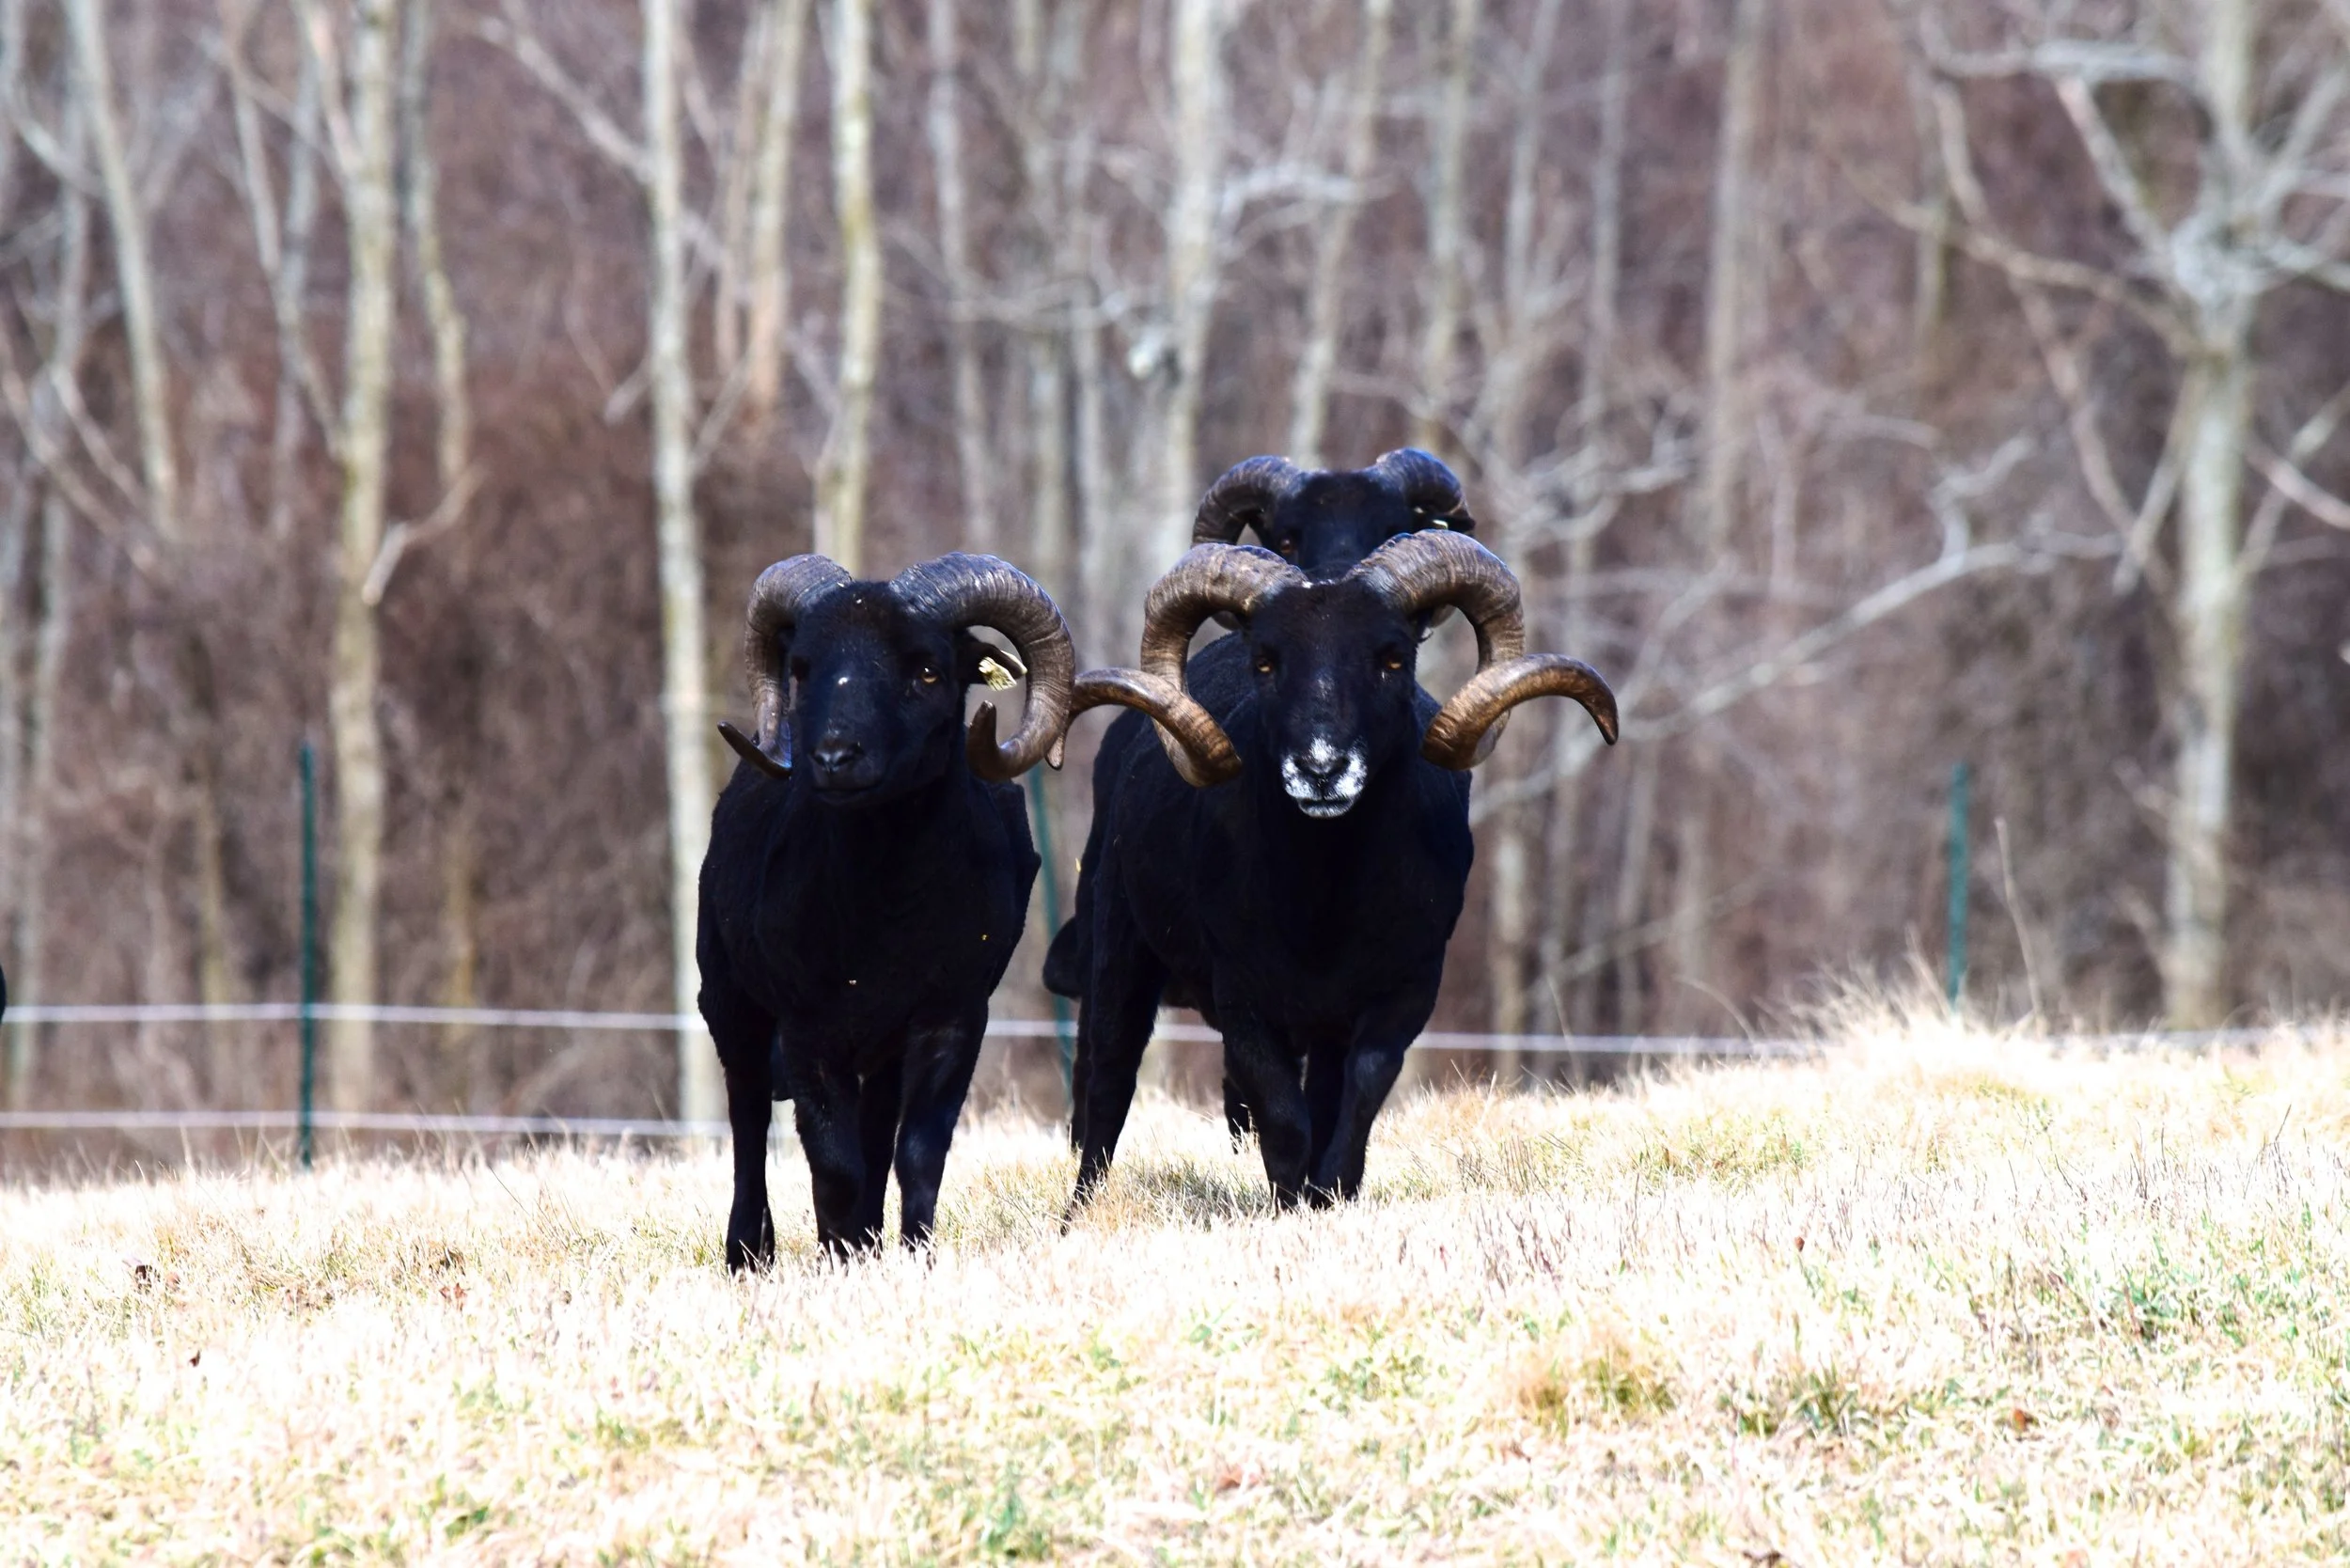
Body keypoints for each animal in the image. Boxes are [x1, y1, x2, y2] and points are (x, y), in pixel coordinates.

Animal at [697, 552, 1075, 1267]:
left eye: (926, 669)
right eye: (803, 668)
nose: (834, 757)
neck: (886, 919)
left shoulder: (951, 1019)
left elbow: (918, 1154)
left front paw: (909, 1256)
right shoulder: (809, 1028)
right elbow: (832, 1163)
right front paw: (837, 1258)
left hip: (881, 1051)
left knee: (871, 1135)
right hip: (731, 1003)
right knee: (748, 1123)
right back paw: (748, 1254)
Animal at [1053, 531, 1616, 1209]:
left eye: (1393, 659)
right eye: (1265, 662)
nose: (1321, 768)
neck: (1324, 905)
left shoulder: (1405, 989)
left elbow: (1360, 1093)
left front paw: (1332, 1194)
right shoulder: (1242, 996)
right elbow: (1282, 1115)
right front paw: (1291, 1202)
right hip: (1118, 950)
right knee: (1106, 1081)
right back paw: (1079, 1211)